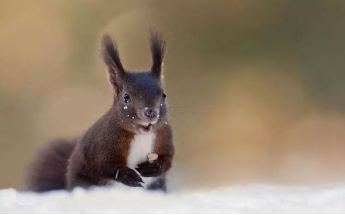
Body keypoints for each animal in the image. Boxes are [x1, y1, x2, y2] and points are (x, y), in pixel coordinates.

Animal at [26, 30, 175, 193]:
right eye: (126, 98)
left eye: (164, 96)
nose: (150, 112)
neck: (141, 135)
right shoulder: (103, 144)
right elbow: (104, 166)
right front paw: (126, 175)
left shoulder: (165, 136)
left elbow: (168, 159)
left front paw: (153, 167)